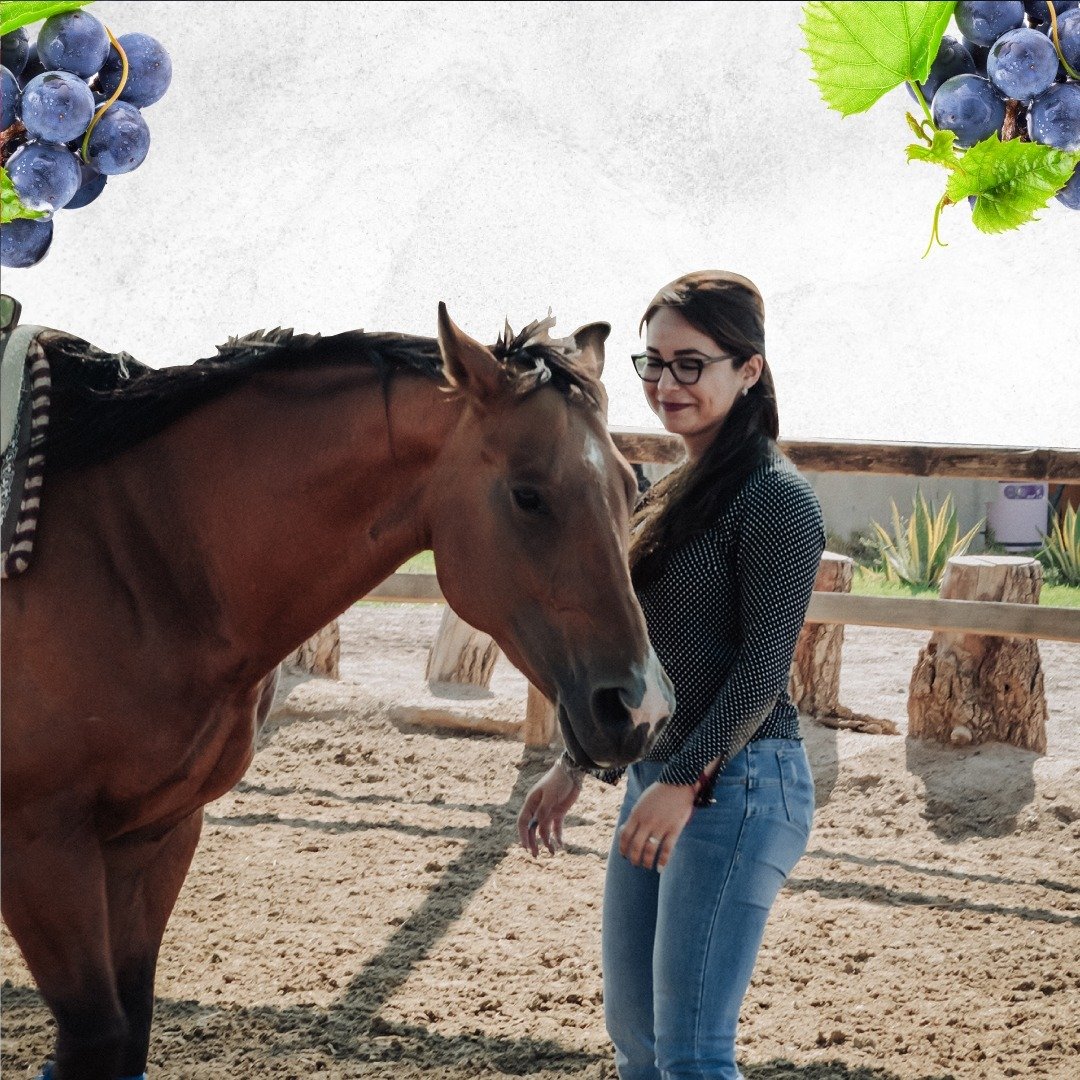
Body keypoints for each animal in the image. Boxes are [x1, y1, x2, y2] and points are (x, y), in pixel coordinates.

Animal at [2, 304, 673, 1080]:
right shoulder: (40, 849)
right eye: (528, 494)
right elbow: (99, 1034)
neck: (140, 552)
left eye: (630, 487)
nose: (642, 707)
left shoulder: (155, 834)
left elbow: (132, 1023)